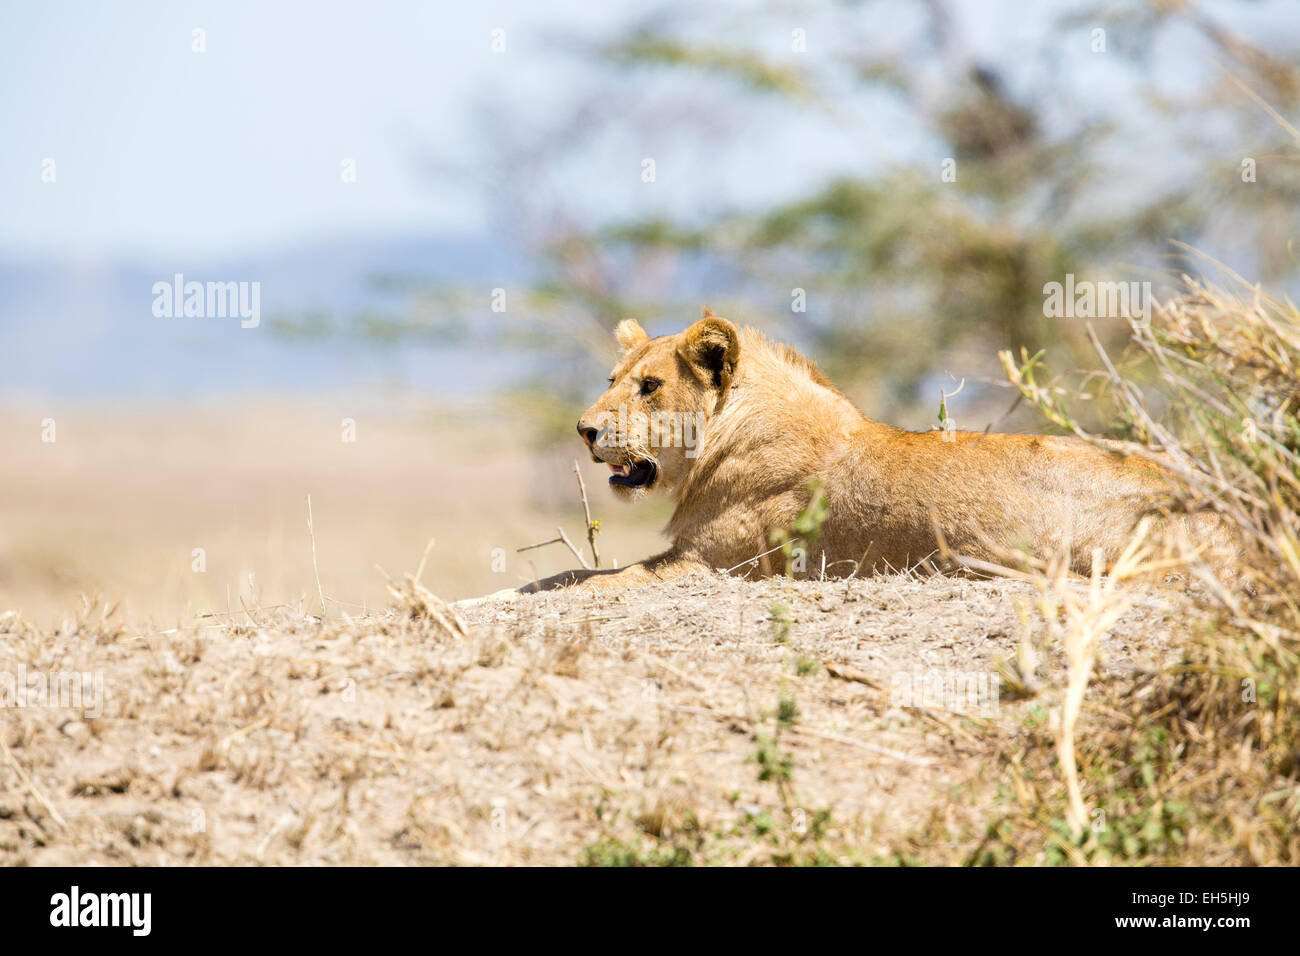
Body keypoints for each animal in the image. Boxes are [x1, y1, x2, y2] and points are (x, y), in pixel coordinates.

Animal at [509, 306, 1206, 595]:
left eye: (650, 387)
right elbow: (572, 574)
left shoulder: (707, 565)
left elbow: (588, 579)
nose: (583, 429)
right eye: (612, 380)